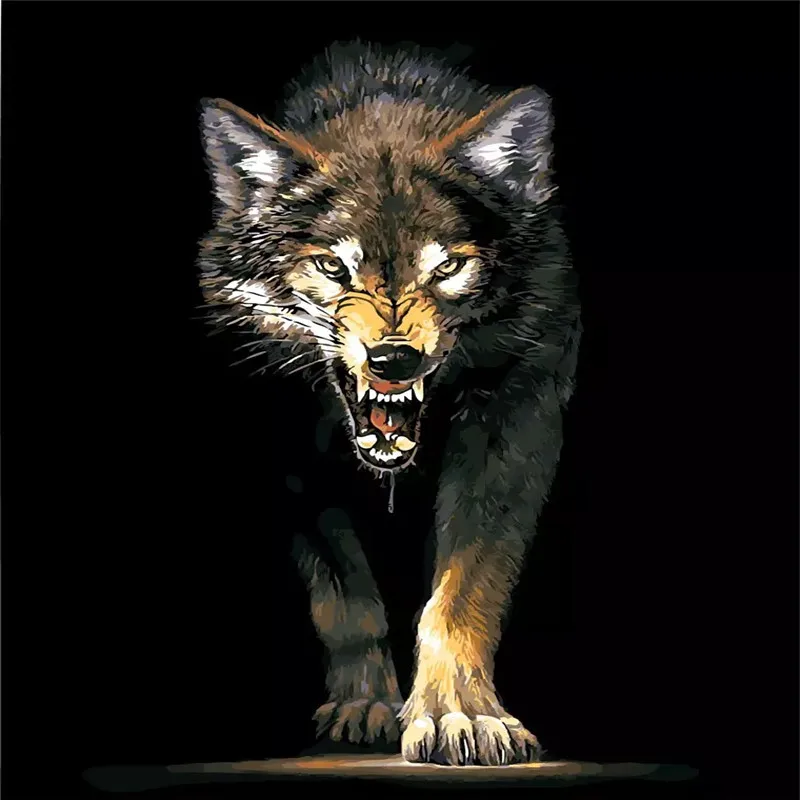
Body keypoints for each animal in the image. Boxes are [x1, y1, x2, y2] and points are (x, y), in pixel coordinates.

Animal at [196, 41, 581, 766]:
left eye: (448, 267)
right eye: (333, 267)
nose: (394, 360)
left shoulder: (517, 422)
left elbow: (463, 590)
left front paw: (461, 715)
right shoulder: (291, 455)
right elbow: (347, 595)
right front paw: (367, 706)